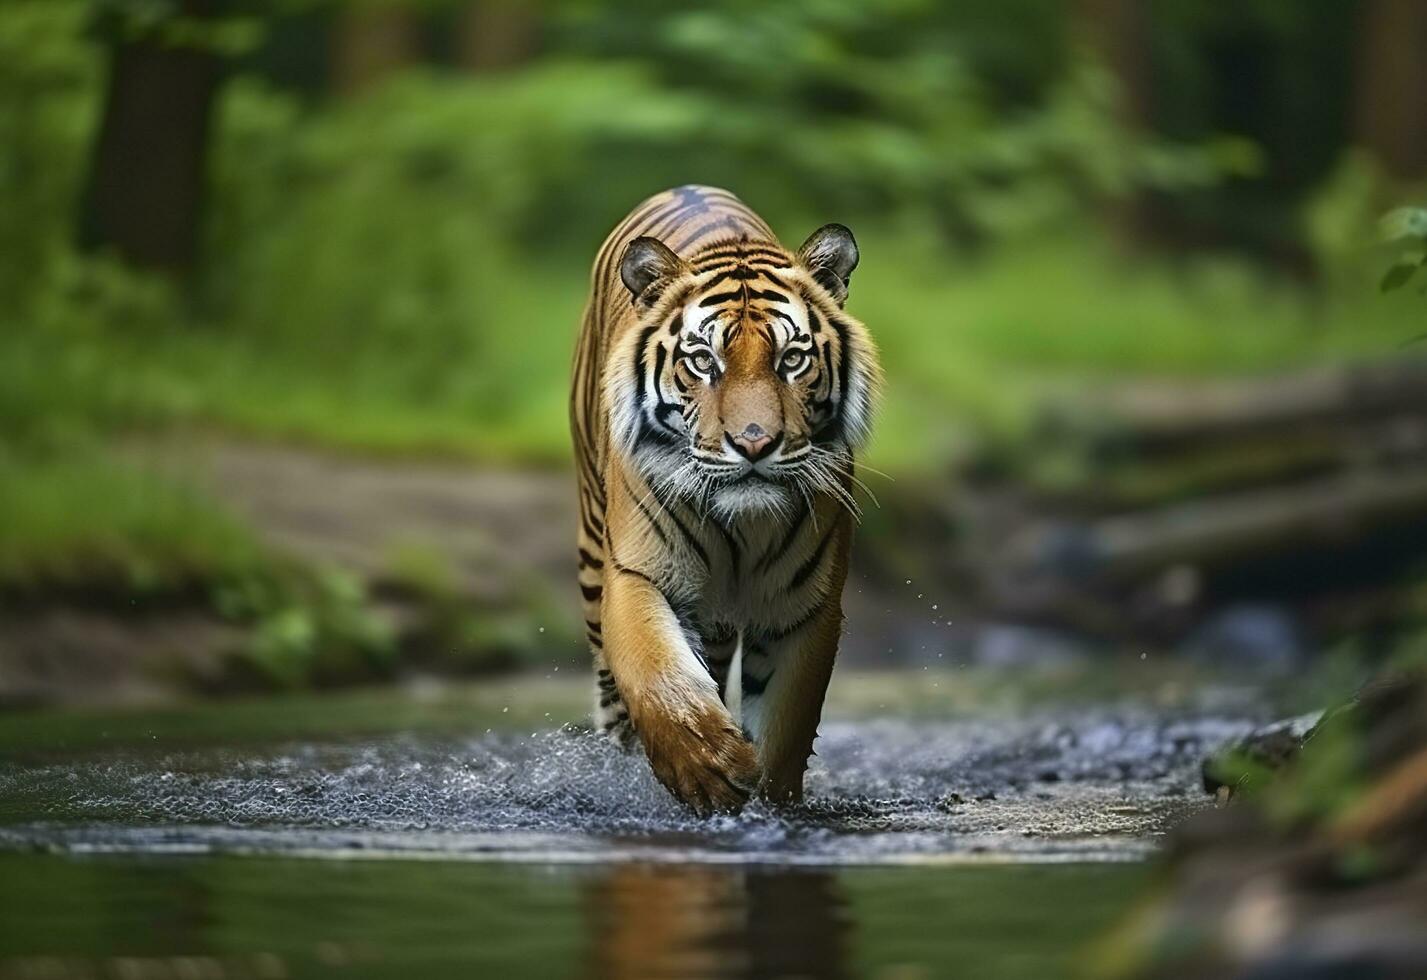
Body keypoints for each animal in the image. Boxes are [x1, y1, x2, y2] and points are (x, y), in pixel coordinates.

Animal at [567, 188, 879, 815]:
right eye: (703, 361)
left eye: (791, 360)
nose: (755, 443)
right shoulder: (637, 572)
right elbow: (656, 673)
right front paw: (706, 769)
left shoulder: (804, 607)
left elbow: (785, 728)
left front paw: (768, 805)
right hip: (592, 551)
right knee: (614, 691)